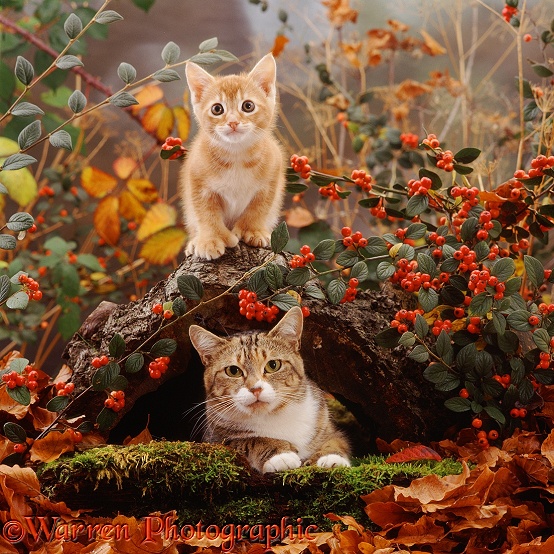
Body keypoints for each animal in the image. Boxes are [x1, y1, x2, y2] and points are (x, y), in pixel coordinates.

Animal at [179, 52, 284, 260]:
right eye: (217, 109)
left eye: (248, 106)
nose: (233, 122)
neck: (237, 156)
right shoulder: (197, 182)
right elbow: (206, 214)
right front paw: (211, 240)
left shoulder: (272, 178)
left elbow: (259, 207)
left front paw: (253, 230)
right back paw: (195, 242)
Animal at [188, 304, 348, 472]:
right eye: (233, 371)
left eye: (273, 365)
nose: (255, 389)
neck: (272, 416)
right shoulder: (214, 439)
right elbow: (251, 440)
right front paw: (280, 454)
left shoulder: (325, 423)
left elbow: (335, 440)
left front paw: (330, 457)